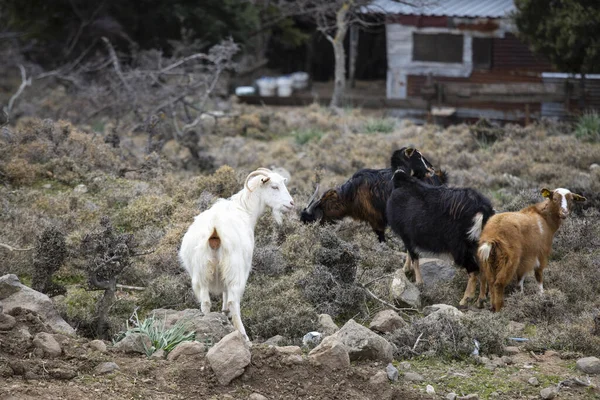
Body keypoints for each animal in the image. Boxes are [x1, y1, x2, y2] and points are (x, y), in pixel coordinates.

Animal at [179, 167, 294, 340]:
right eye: (274, 187)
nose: (291, 204)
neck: (244, 209)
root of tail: (215, 231)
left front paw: (223, 314)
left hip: (201, 274)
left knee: (205, 302)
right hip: (234, 271)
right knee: (234, 302)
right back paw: (243, 336)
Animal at [386, 159, 494, 306]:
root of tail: (482, 209)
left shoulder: (407, 235)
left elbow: (414, 256)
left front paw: (418, 282)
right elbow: (410, 254)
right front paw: (406, 270)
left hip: (460, 248)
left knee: (474, 270)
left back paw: (465, 300)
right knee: (483, 269)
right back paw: (481, 300)